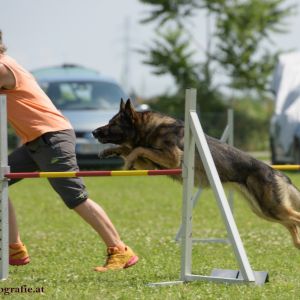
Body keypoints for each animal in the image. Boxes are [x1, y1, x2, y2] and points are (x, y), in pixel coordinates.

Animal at [93, 98, 300, 248]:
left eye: (113, 123)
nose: (94, 132)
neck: (149, 128)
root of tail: (276, 172)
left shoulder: (171, 157)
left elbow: (138, 149)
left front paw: (127, 161)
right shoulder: (153, 161)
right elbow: (129, 148)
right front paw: (110, 152)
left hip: (271, 208)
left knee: (295, 218)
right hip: (263, 211)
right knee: (292, 223)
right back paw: (297, 245)